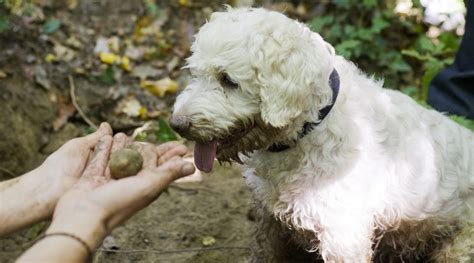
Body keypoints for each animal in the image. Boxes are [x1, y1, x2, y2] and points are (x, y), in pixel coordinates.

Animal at [170, 7, 474, 262]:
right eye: (195, 74)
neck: (311, 127)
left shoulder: (343, 236)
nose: (176, 124)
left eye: (228, 80)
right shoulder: (270, 224)